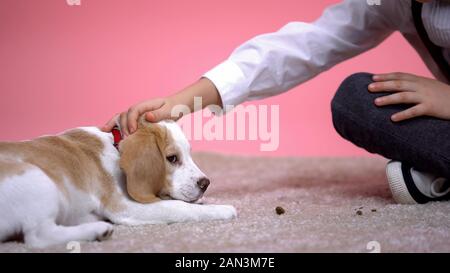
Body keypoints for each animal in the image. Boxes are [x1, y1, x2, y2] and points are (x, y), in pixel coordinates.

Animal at [0, 118, 237, 246]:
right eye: (172, 158)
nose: (205, 183)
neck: (115, 146)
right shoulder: (125, 207)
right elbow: (178, 207)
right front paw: (222, 209)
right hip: (36, 177)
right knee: (39, 236)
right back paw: (98, 230)